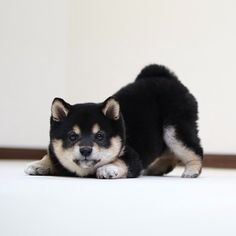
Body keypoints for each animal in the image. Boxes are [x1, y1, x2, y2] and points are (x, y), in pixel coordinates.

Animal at [25, 64, 203, 179]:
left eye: (100, 136)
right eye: (72, 137)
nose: (85, 150)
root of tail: (167, 77)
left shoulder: (132, 157)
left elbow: (120, 161)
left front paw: (108, 168)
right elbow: (50, 155)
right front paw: (39, 164)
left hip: (174, 129)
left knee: (194, 150)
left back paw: (192, 171)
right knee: (169, 154)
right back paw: (155, 169)